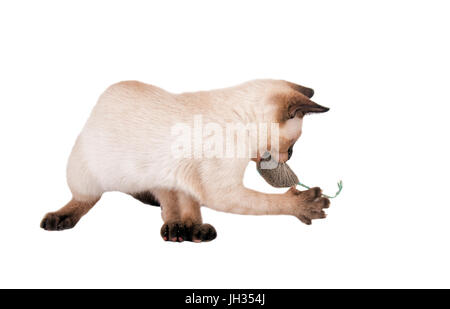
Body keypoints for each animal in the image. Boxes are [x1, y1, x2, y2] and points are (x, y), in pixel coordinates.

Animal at [40, 79, 330, 241]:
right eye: (292, 145)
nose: (290, 155)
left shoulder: (190, 181)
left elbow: (186, 204)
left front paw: (190, 227)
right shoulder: (220, 190)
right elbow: (268, 202)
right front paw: (305, 204)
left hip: (166, 175)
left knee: (173, 205)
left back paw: (188, 231)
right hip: (86, 172)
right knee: (84, 199)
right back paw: (59, 219)